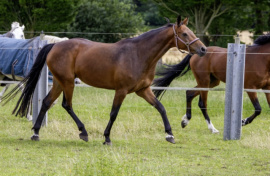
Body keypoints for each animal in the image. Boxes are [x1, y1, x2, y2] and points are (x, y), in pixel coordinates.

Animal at [1, 16, 207, 145]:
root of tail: (54, 46)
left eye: (190, 31)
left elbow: (161, 108)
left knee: (46, 102)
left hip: (59, 82)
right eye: (185, 34)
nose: (203, 49)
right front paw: (107, 138)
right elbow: (114, 113)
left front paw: (170, 135)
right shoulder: (121, 91)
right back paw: (83, 132)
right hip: (67, 82)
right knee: (67, 104)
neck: (139, 54)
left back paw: (36, 133)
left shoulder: (143, 90)